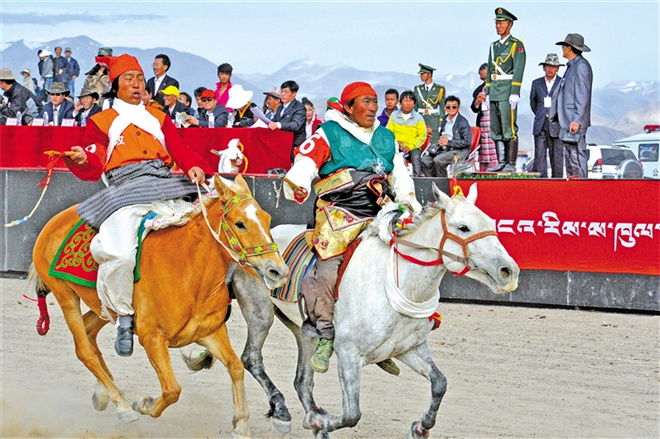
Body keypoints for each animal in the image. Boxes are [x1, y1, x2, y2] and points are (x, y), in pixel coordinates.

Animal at [31, 174, 288, 438]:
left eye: (267, 219)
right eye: (240, 223)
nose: (278, 270)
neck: (188, 272)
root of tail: (54, 221)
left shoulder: (211, 333)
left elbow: (235, 366)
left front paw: (241, 423)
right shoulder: (152, 338)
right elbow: (172, 389)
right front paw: (143, 404)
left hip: (103, 306)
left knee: (89, 332)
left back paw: (104, 393)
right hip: (65, 296)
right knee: (85, 351)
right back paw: (123, 405)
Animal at [186, 183, 520, 439]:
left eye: (491, 223)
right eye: (463, 227)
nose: (509, 271)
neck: (398, 284)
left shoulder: (409, 348)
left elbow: (440, 383)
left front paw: (421, 427)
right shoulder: (348, 354)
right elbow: (352, 414)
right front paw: (321, 421)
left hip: (304, 332)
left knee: (302, 381)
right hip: (260, 312)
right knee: (251, 359)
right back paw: (283, 412)